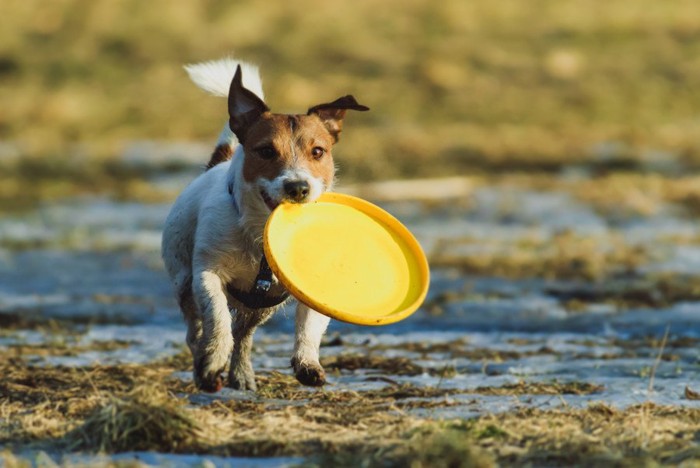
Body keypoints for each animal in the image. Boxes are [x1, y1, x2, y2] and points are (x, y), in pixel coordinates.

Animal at [159, 58, 366, 392]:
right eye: (266, 150)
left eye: (318, 151)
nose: (298, 187)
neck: (261, 234)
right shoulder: (207, 274)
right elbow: (218, 317)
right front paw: (214, 357)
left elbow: (309, 327)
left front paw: (307, 363)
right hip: (183, 283)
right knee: (197, 331)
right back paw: (204, 364)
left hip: (263, 305)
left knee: (244, 334)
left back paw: (240, 373)